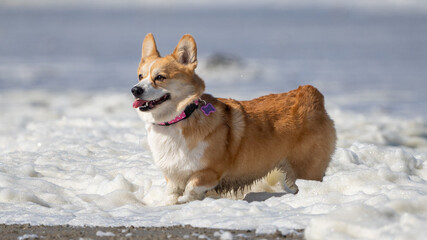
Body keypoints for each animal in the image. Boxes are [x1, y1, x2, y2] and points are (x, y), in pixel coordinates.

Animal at [132, 32, 336, 203]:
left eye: (160, 77)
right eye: (140, 76)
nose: (135, 90)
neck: (179, 119)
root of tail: (310, 93)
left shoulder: (209, 172)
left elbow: (192, 188)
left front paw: (185, 201)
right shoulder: (173, 176)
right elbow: (172, 193)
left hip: (306, 169)